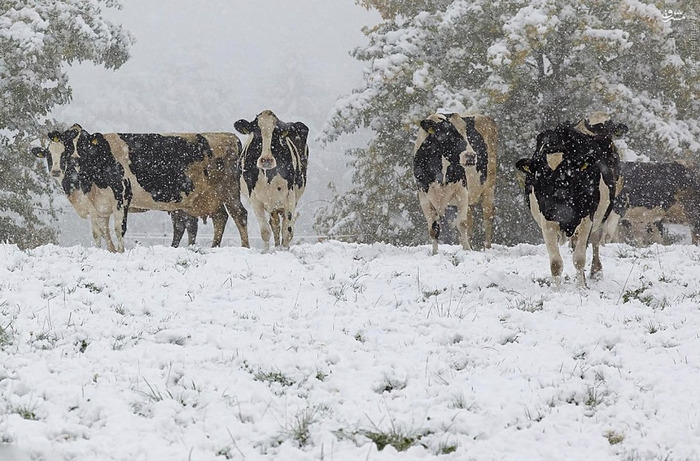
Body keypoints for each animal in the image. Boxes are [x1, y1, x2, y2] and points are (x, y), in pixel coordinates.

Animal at [35, 124, 250, 250]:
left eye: (80, 145)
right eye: (50, 154)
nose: (56, 171)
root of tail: (229, 136)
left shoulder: (121, 197)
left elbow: (118, 229)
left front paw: (121, 252)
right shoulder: (98, 206)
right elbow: (100, 232)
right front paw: (108, 251)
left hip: (229, 191)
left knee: (239, 215)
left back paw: (244, 247)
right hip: (209, 198)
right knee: (219, 218)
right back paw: (213, 247)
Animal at [234, 109, 308, 250]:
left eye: (276, 133)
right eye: (256, 132)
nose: (266, 160)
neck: (268, 175)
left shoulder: (289, 197)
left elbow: (288, 231)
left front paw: (284, 250)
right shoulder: (255, 199)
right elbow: (265, 231)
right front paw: (266, 252)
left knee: (284, 225)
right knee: (274, 224)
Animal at [416, 113, 498, 253]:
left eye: (466, 134)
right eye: (448, 133)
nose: (471, 156)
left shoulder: (462, 191)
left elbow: (461, 224)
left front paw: (468, 251)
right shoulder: (424, 197)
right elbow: (433, 229)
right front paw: (435, 253)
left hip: (489, 187)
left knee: (488, 216)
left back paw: (486, 247)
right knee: (470, 221)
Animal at [516, 118, 624, 284]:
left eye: (569, 174)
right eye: (539, 177)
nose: (553, 209)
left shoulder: (587, 218)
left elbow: (579, 259)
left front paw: (581, 287)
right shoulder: (546, 221)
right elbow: (555, 264)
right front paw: (557, 288)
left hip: (600, 216)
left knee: (594, 241)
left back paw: (595, 272)